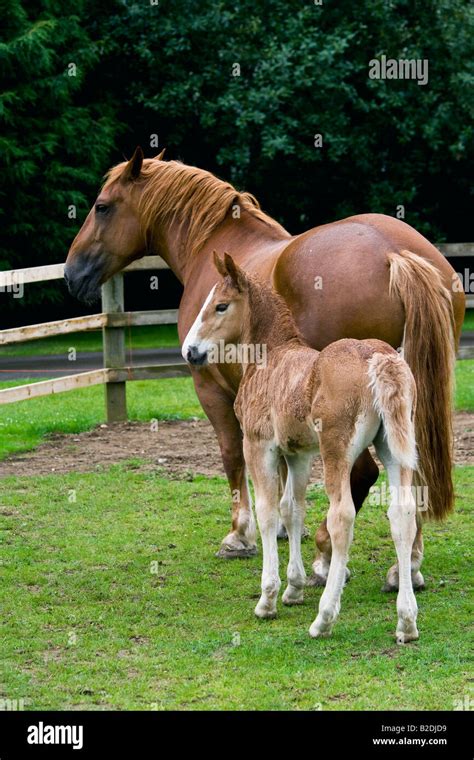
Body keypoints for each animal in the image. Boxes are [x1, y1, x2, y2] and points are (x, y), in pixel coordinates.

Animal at [65, 145, 464, 592]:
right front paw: (288, 528)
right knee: (412, 476)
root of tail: (395, 252)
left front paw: (241, 535)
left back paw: (327, 556)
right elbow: (288, 473)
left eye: (102, 206)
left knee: (361, 476)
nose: (71, 273)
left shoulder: (211, 388)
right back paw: (407, 564)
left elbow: (231, 455)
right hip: (408, 406)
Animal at [181, 255, 418, 640]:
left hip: (336, 451)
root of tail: (378, 357)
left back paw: (324, 619)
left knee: (342, 517)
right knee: (402, 514)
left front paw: (268, 599)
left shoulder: (258, 446)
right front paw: (294, 588)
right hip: (394, 447)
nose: (190, 351)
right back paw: (407, 621)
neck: (271, 356)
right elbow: (293, 510)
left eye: (220, 306)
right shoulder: (298, 454)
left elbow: (267, 512)